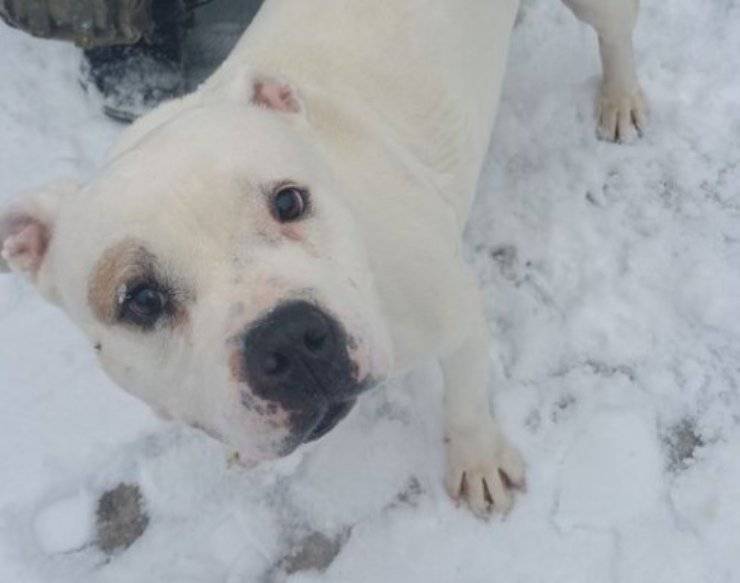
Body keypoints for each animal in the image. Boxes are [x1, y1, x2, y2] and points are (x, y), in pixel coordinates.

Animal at [1, 0, 640, 516]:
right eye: (140, 299)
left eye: (289, 200)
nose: (287, 338)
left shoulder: (456, 316)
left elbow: (463, 400)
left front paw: (478, 461)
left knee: (615, 34)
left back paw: (621, 97)